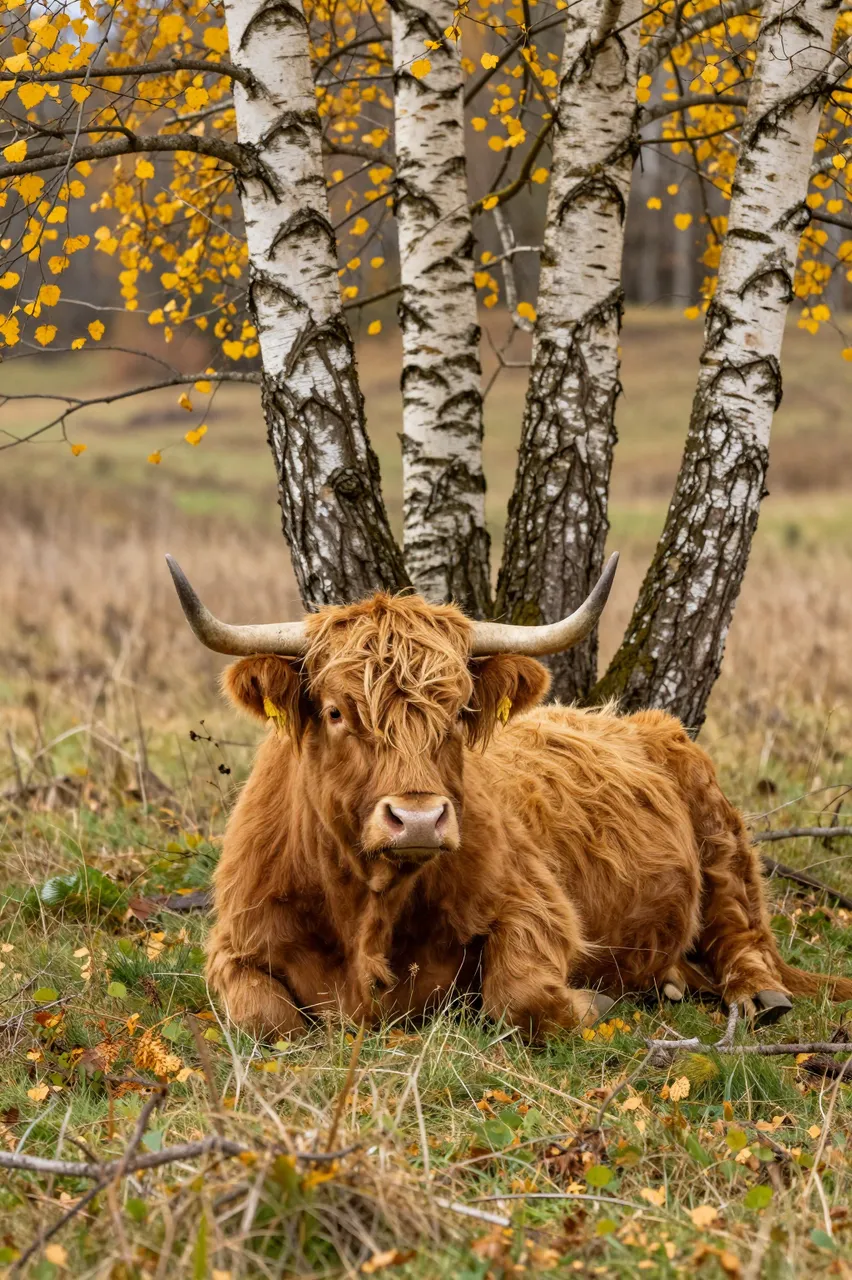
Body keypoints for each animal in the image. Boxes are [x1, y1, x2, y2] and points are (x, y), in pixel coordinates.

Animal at [166, 554, 852, 1039]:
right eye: (336, 712)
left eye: (457, 711)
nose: (418, 819)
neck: (368, 909)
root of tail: (635, 720)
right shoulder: (234, 944)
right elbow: (264, 1019)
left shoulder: (534, 905)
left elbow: (518, 997)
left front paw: (595, 1000)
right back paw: (673, 984)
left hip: (720, 837)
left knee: (743, 930)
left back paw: (757, 996)